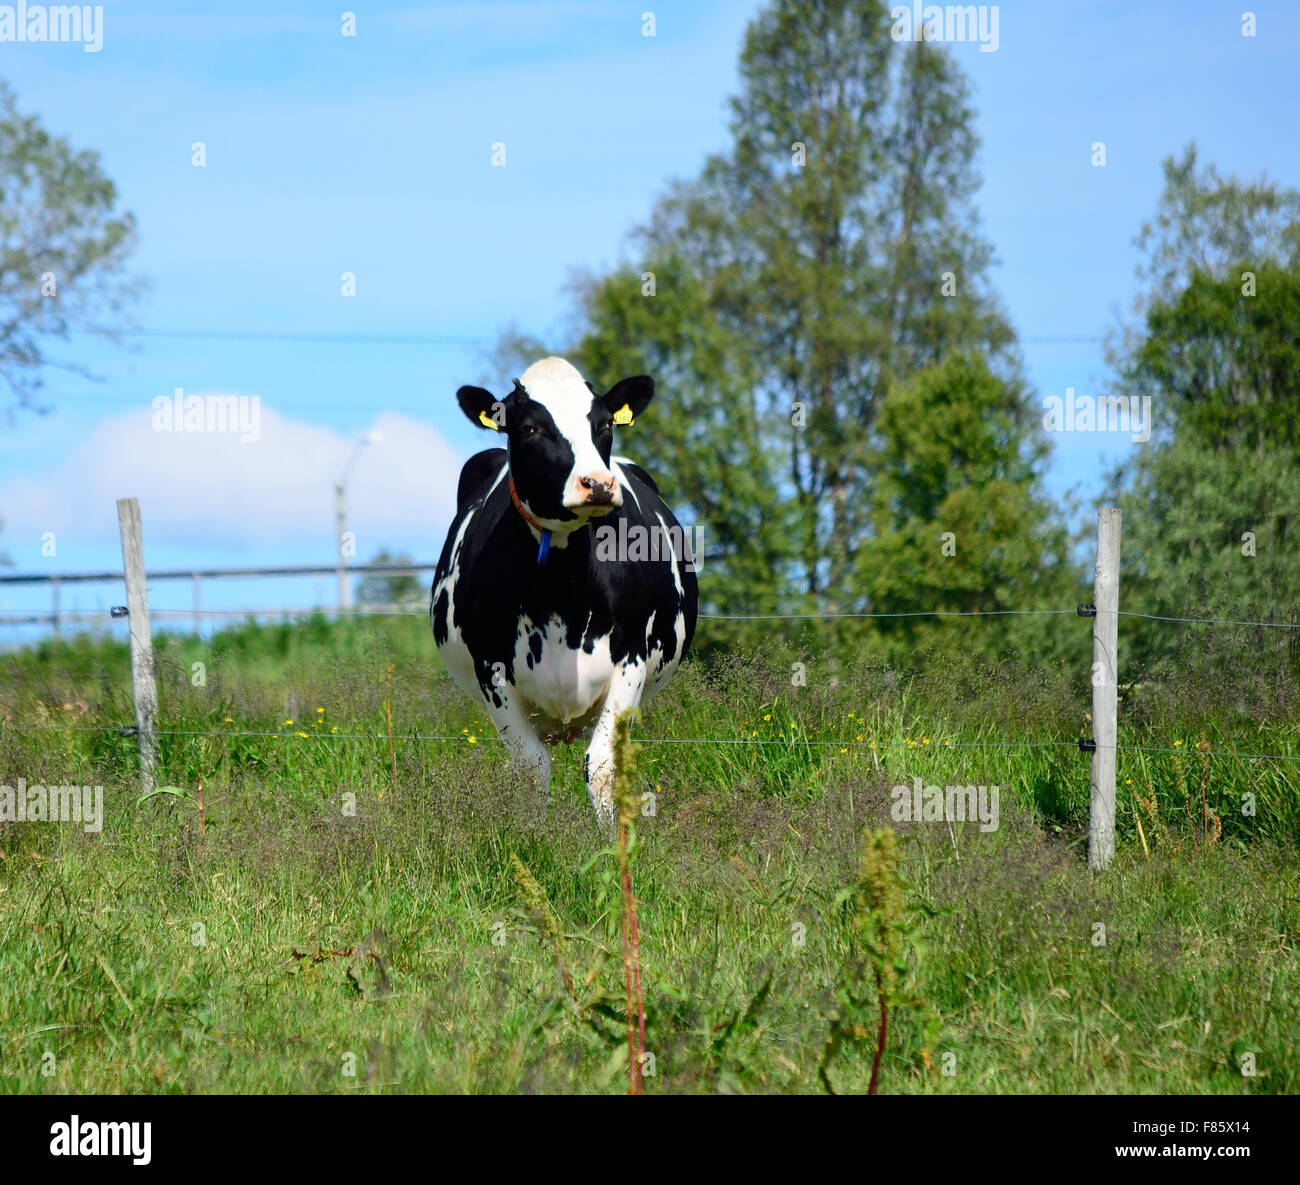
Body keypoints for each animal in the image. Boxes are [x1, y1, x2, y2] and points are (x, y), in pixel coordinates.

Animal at [430, 356, 698, 834]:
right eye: (530, 427)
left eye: (604, 423)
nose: (598, 484)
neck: (562, 587)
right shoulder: (490, 668)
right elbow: (530, 768)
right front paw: (532, 839)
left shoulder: (632, 656)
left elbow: (603, 766)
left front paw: (616, 844)